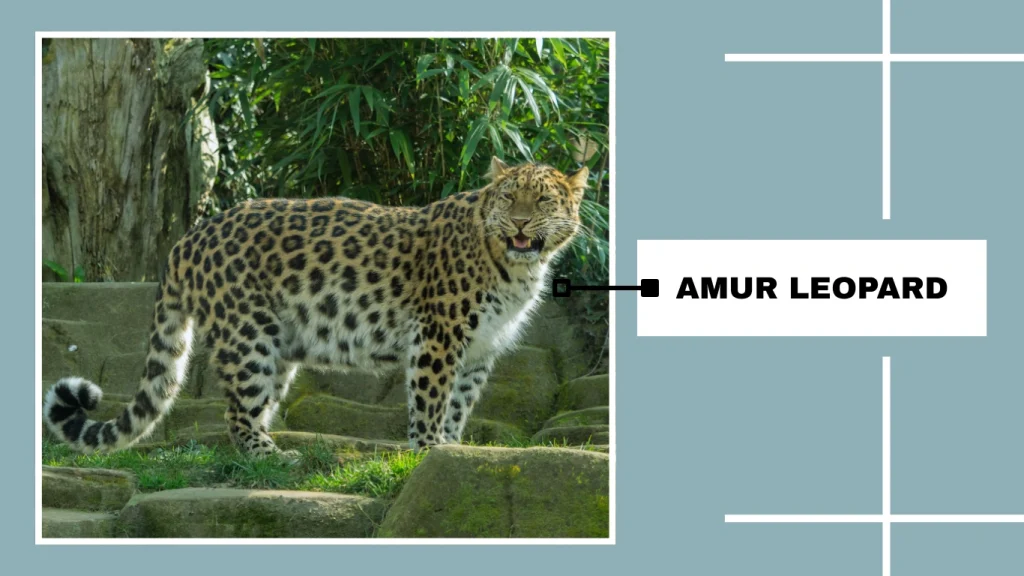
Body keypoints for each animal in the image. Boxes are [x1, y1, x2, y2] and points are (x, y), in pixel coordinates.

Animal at [43, 157, 588, 457]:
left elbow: (460, 401)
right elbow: (432, 399)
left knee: (255, 406)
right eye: (509, 197)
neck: (516, 268)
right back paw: (272, 458)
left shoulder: (479, 348)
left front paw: (450, 450)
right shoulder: (438, 336)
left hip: (279, 345)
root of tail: (188, 238)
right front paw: (429, 448)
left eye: (542, 201)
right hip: (248, 335)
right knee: (237, 413)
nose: (519, 224)